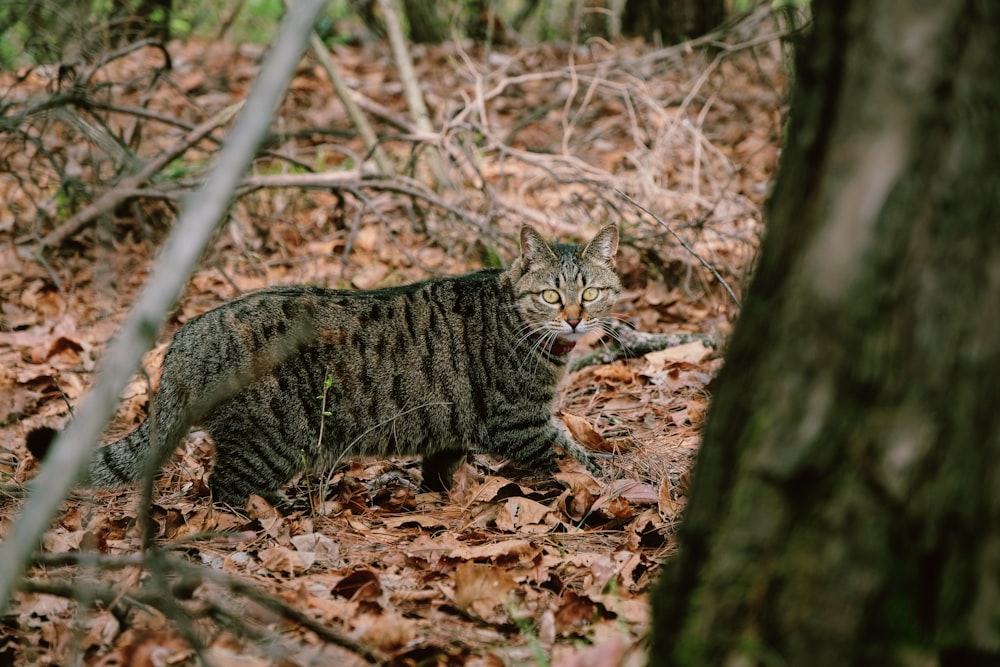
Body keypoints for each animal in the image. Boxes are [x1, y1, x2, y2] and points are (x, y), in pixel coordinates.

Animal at [29, 224, 616, 506]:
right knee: (225, 489)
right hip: (270, 440)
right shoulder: (518, 421)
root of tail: (185, 338)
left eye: (591, 292)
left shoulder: (451, 427)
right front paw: (609, 476)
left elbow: (440, 469)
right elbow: (568, 452)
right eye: (550, 295)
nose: (574, 319)